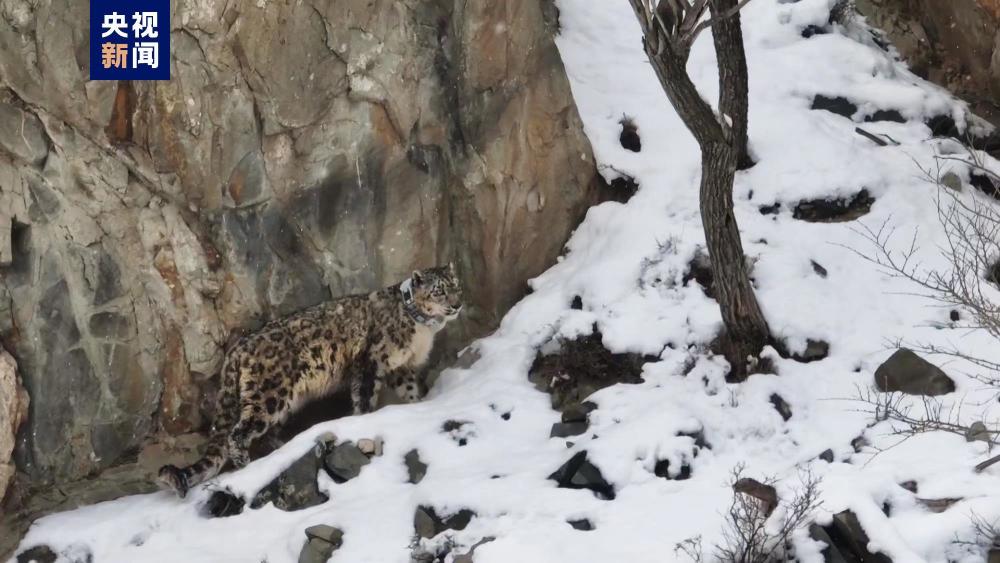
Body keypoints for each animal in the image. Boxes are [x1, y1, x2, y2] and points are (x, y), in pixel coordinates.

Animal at [158, 264, 462, 498]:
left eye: (456, 286)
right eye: (439, 290)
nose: (457, 304)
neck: (421, 330)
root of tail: (236, 351)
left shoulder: (400, 367)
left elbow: (410, 390)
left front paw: (418, 405)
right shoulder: (371, 361)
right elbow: (364, 398)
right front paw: (365, 419)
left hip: (281, 402)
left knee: (267, 432)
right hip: (269, 395)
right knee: (239, 432)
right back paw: (247, 465)